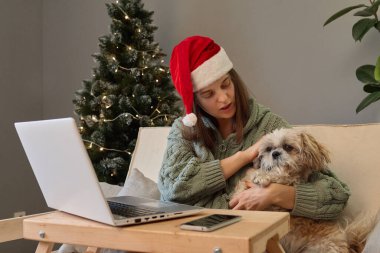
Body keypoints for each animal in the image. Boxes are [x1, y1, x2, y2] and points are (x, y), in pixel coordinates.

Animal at [235, 128, 374, 253]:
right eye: (269, 149)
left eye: (288, 147)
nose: (275, 153)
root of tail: (346, 240)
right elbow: (243, 183)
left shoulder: (289, 180)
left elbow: (280, 174)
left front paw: (262, 175)